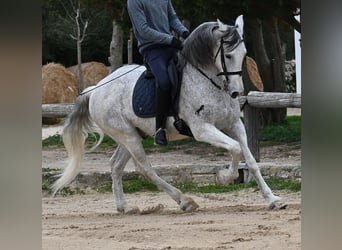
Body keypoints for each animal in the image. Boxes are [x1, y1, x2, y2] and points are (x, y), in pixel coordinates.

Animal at [52, 16, 284, 213]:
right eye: (227, 55)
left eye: (244, 54)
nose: (236, 92)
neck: (210, 81)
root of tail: (95, 90)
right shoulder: (202, 129)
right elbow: (235, 149)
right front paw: (223, 177)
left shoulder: (235, 124)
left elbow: (250, 160)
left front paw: (273, 199)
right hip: (128, 136)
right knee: (144, 168)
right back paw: (185, 201)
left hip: (132, 135)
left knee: (116, 165)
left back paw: (124, 207)